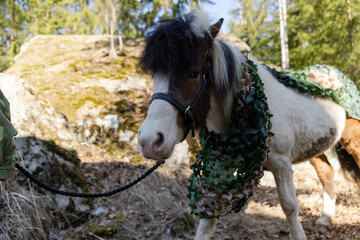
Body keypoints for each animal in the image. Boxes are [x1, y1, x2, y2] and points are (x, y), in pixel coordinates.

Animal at [138, 9, 346, 240]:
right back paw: (325, 219)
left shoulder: (281, 162)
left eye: (194, 73)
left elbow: (290, 206)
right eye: (155, 75)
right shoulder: (220, 165)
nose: (149, 141)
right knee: (327, 173)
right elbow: (208, 219)